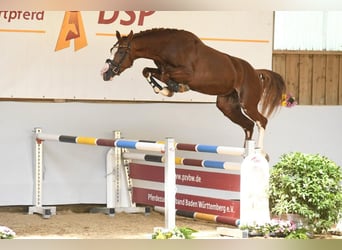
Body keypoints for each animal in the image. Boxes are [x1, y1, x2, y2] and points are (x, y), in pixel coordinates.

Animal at [101, 28, 286, 151]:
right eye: (112, 50)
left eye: (121, 52)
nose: (106, 74)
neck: (167, 48)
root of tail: (255, 72)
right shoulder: (160, 69)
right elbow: (147, 71)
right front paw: (164, 90)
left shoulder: (187, 74)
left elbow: (166, 75)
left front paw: (172, 88)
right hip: (227, 106)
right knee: (248, 125)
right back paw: (244, 151)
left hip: (247, 103)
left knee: (261, 121)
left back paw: (259, 152)